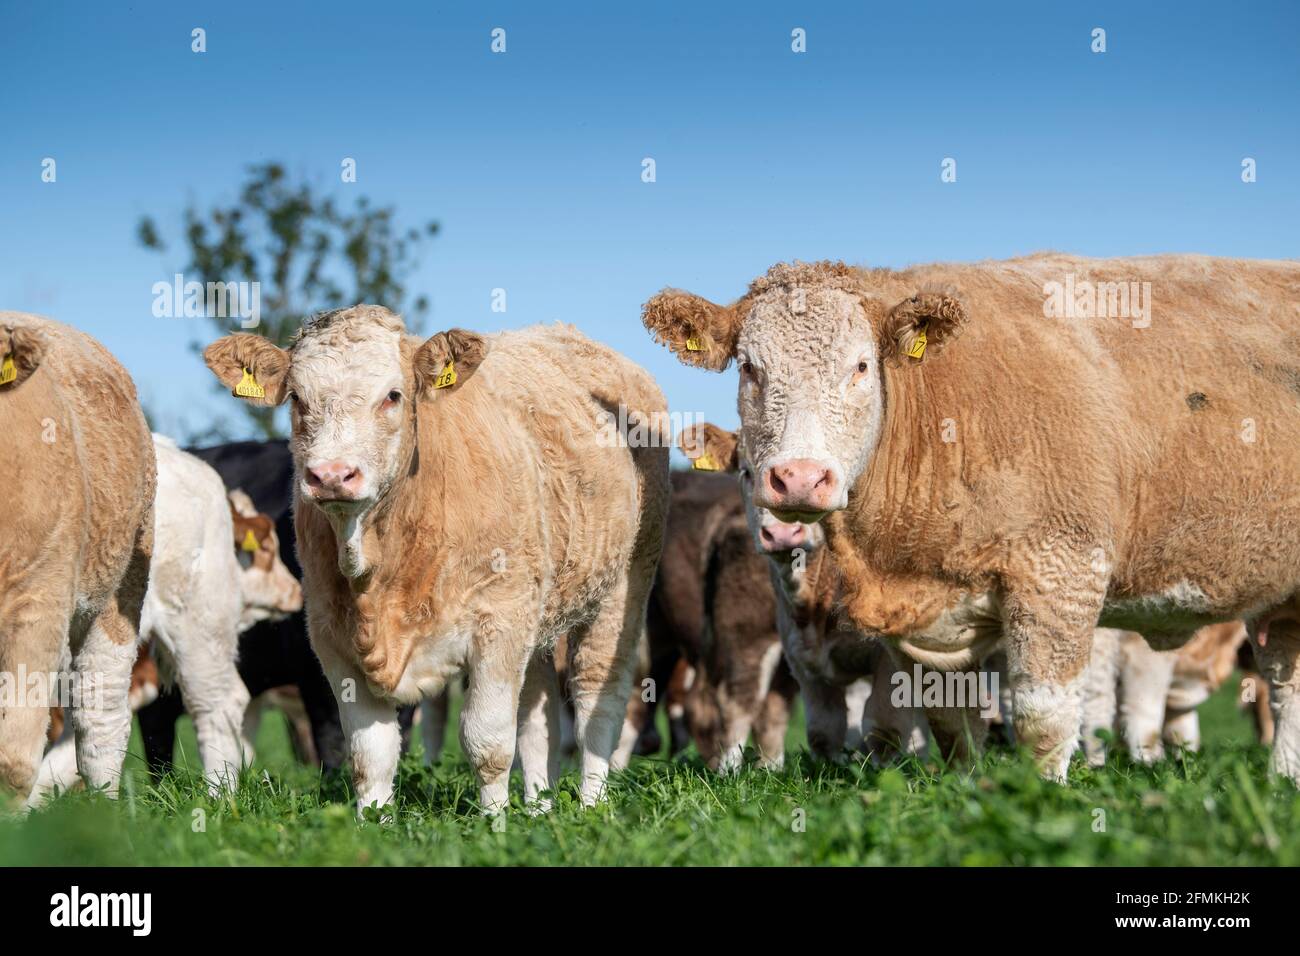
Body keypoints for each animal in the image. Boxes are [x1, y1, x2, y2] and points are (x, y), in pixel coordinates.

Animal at [205, 308, 670, 816]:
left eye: (392, 395)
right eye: (297, 398)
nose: (331, 475)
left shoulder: (499, 621)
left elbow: (488, 743)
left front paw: (495, 823)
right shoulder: (331, 636)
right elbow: (371, 755)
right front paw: (372, 821)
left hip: (623, 588)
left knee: (597, 702)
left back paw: (591, 806)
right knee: (538, 714)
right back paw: (539, 807)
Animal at [644, 256, 1300, 785]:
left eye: (861, 366)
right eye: (749, 368)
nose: (801, 478)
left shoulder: (1063, 570)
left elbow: (1041, 716)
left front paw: (1040, 800)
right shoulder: (928, 621)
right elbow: (948, 725)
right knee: (1287, 685)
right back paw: (1284, 781)